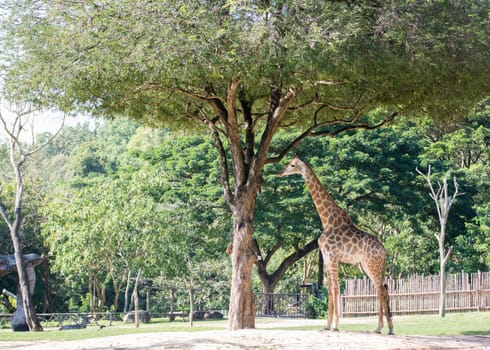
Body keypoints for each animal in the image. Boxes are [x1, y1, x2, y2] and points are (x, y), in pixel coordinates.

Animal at [280, 156, 394, 334]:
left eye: (292, 165)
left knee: (381, 290)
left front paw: (334, 326)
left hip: (372, 264)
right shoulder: (327, 257)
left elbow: (334, 289)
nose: (280, 172)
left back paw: (384, 328)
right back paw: (382, 328)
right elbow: (330, 289)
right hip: (367, 266)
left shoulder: (333, 257)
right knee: (381, 288)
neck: (326, 220)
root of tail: (384, 251)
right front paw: (327, 325)